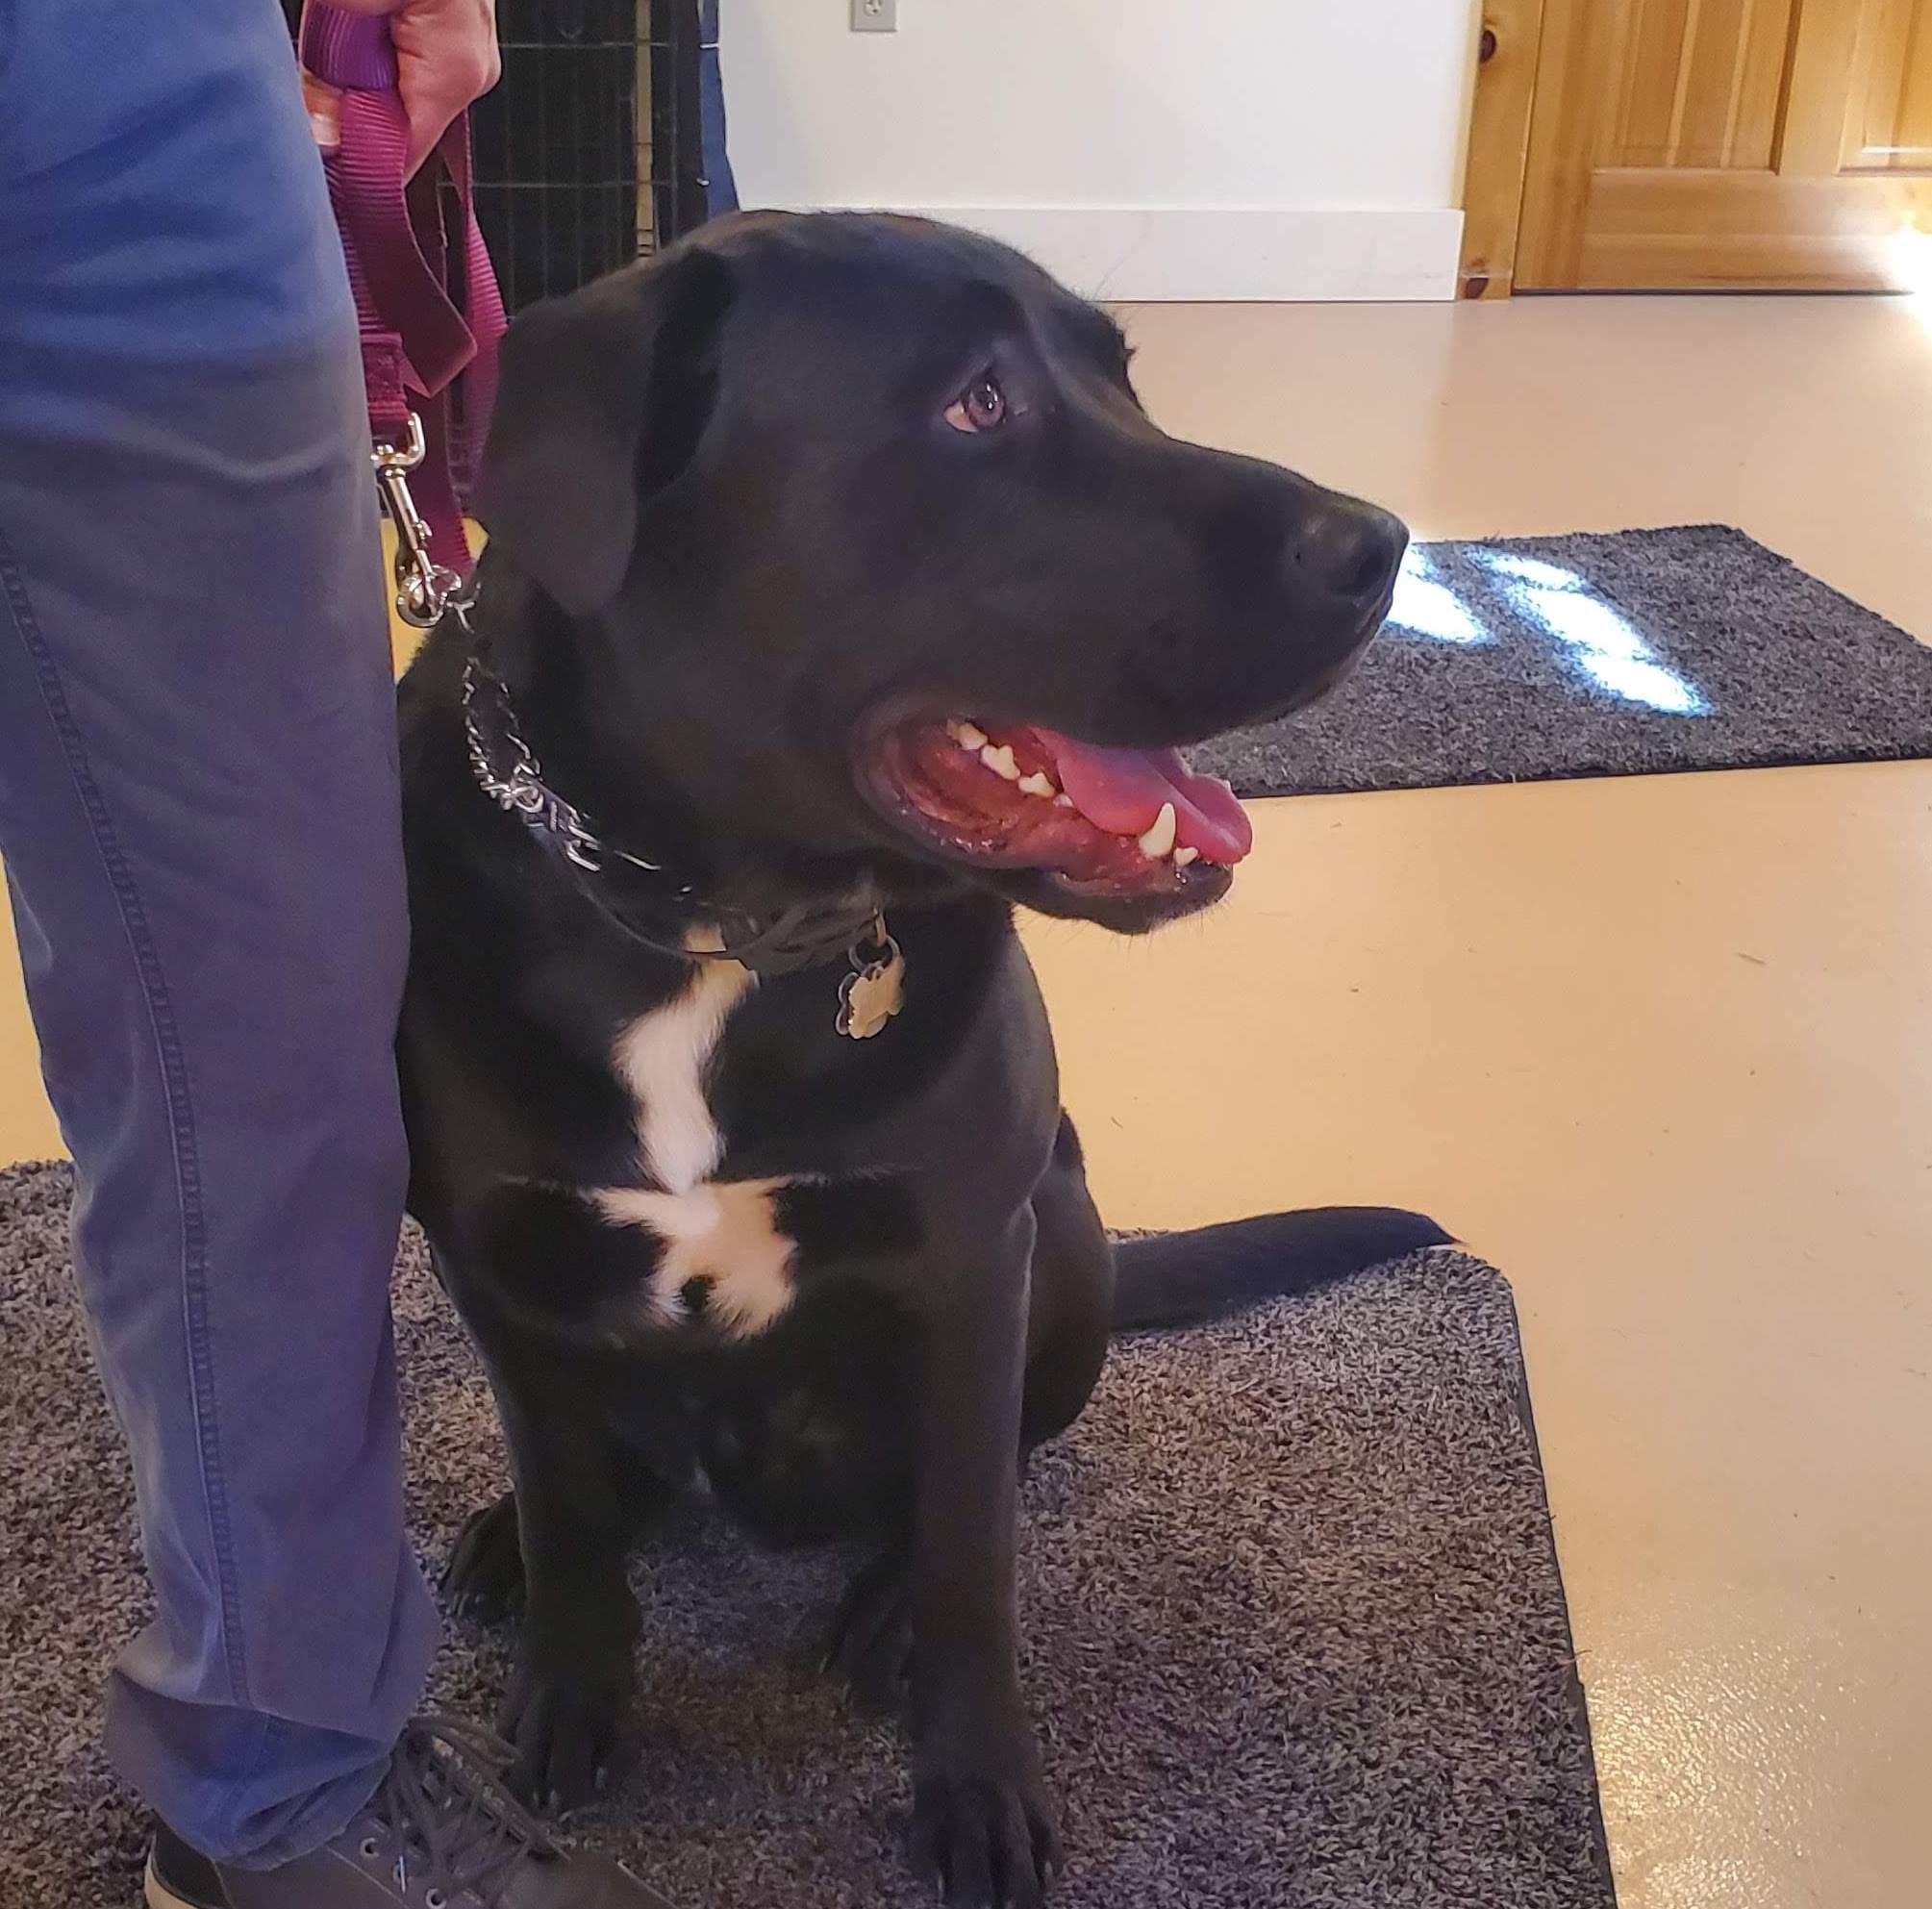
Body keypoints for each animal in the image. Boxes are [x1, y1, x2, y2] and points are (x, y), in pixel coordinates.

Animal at [395, 213, 1452, 1909]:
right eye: (976, 405)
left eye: (1121, 378)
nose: (1379, 545)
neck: (716, 927)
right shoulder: (491, 1256)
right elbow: (565, 1500)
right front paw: (568, 1682)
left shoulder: (967, 1255)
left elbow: (970, 1555)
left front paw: (973, 1787)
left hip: (1064, 1234)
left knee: (983, 1473)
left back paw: (878, 1601)